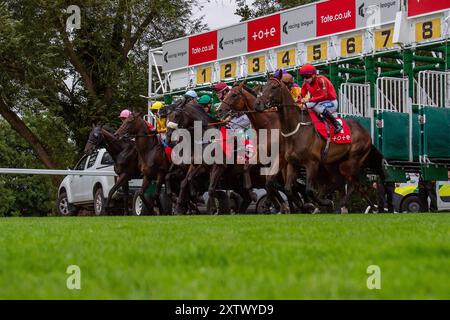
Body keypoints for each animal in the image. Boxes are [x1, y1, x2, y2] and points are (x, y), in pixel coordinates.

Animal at [253, 75, 384, 212]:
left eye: (274, 87)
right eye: (263, 87)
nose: (257, 104)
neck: (296, 129)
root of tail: (366, 132)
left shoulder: (312, 163)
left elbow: (309, 190)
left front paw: (321, 204)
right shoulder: (292, 163)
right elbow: (288, 189)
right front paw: (305, 205)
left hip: (351, 161)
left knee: (352, 184)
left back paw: (341, 206)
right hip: (332, 163)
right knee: (346, 183)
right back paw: (371, 207)